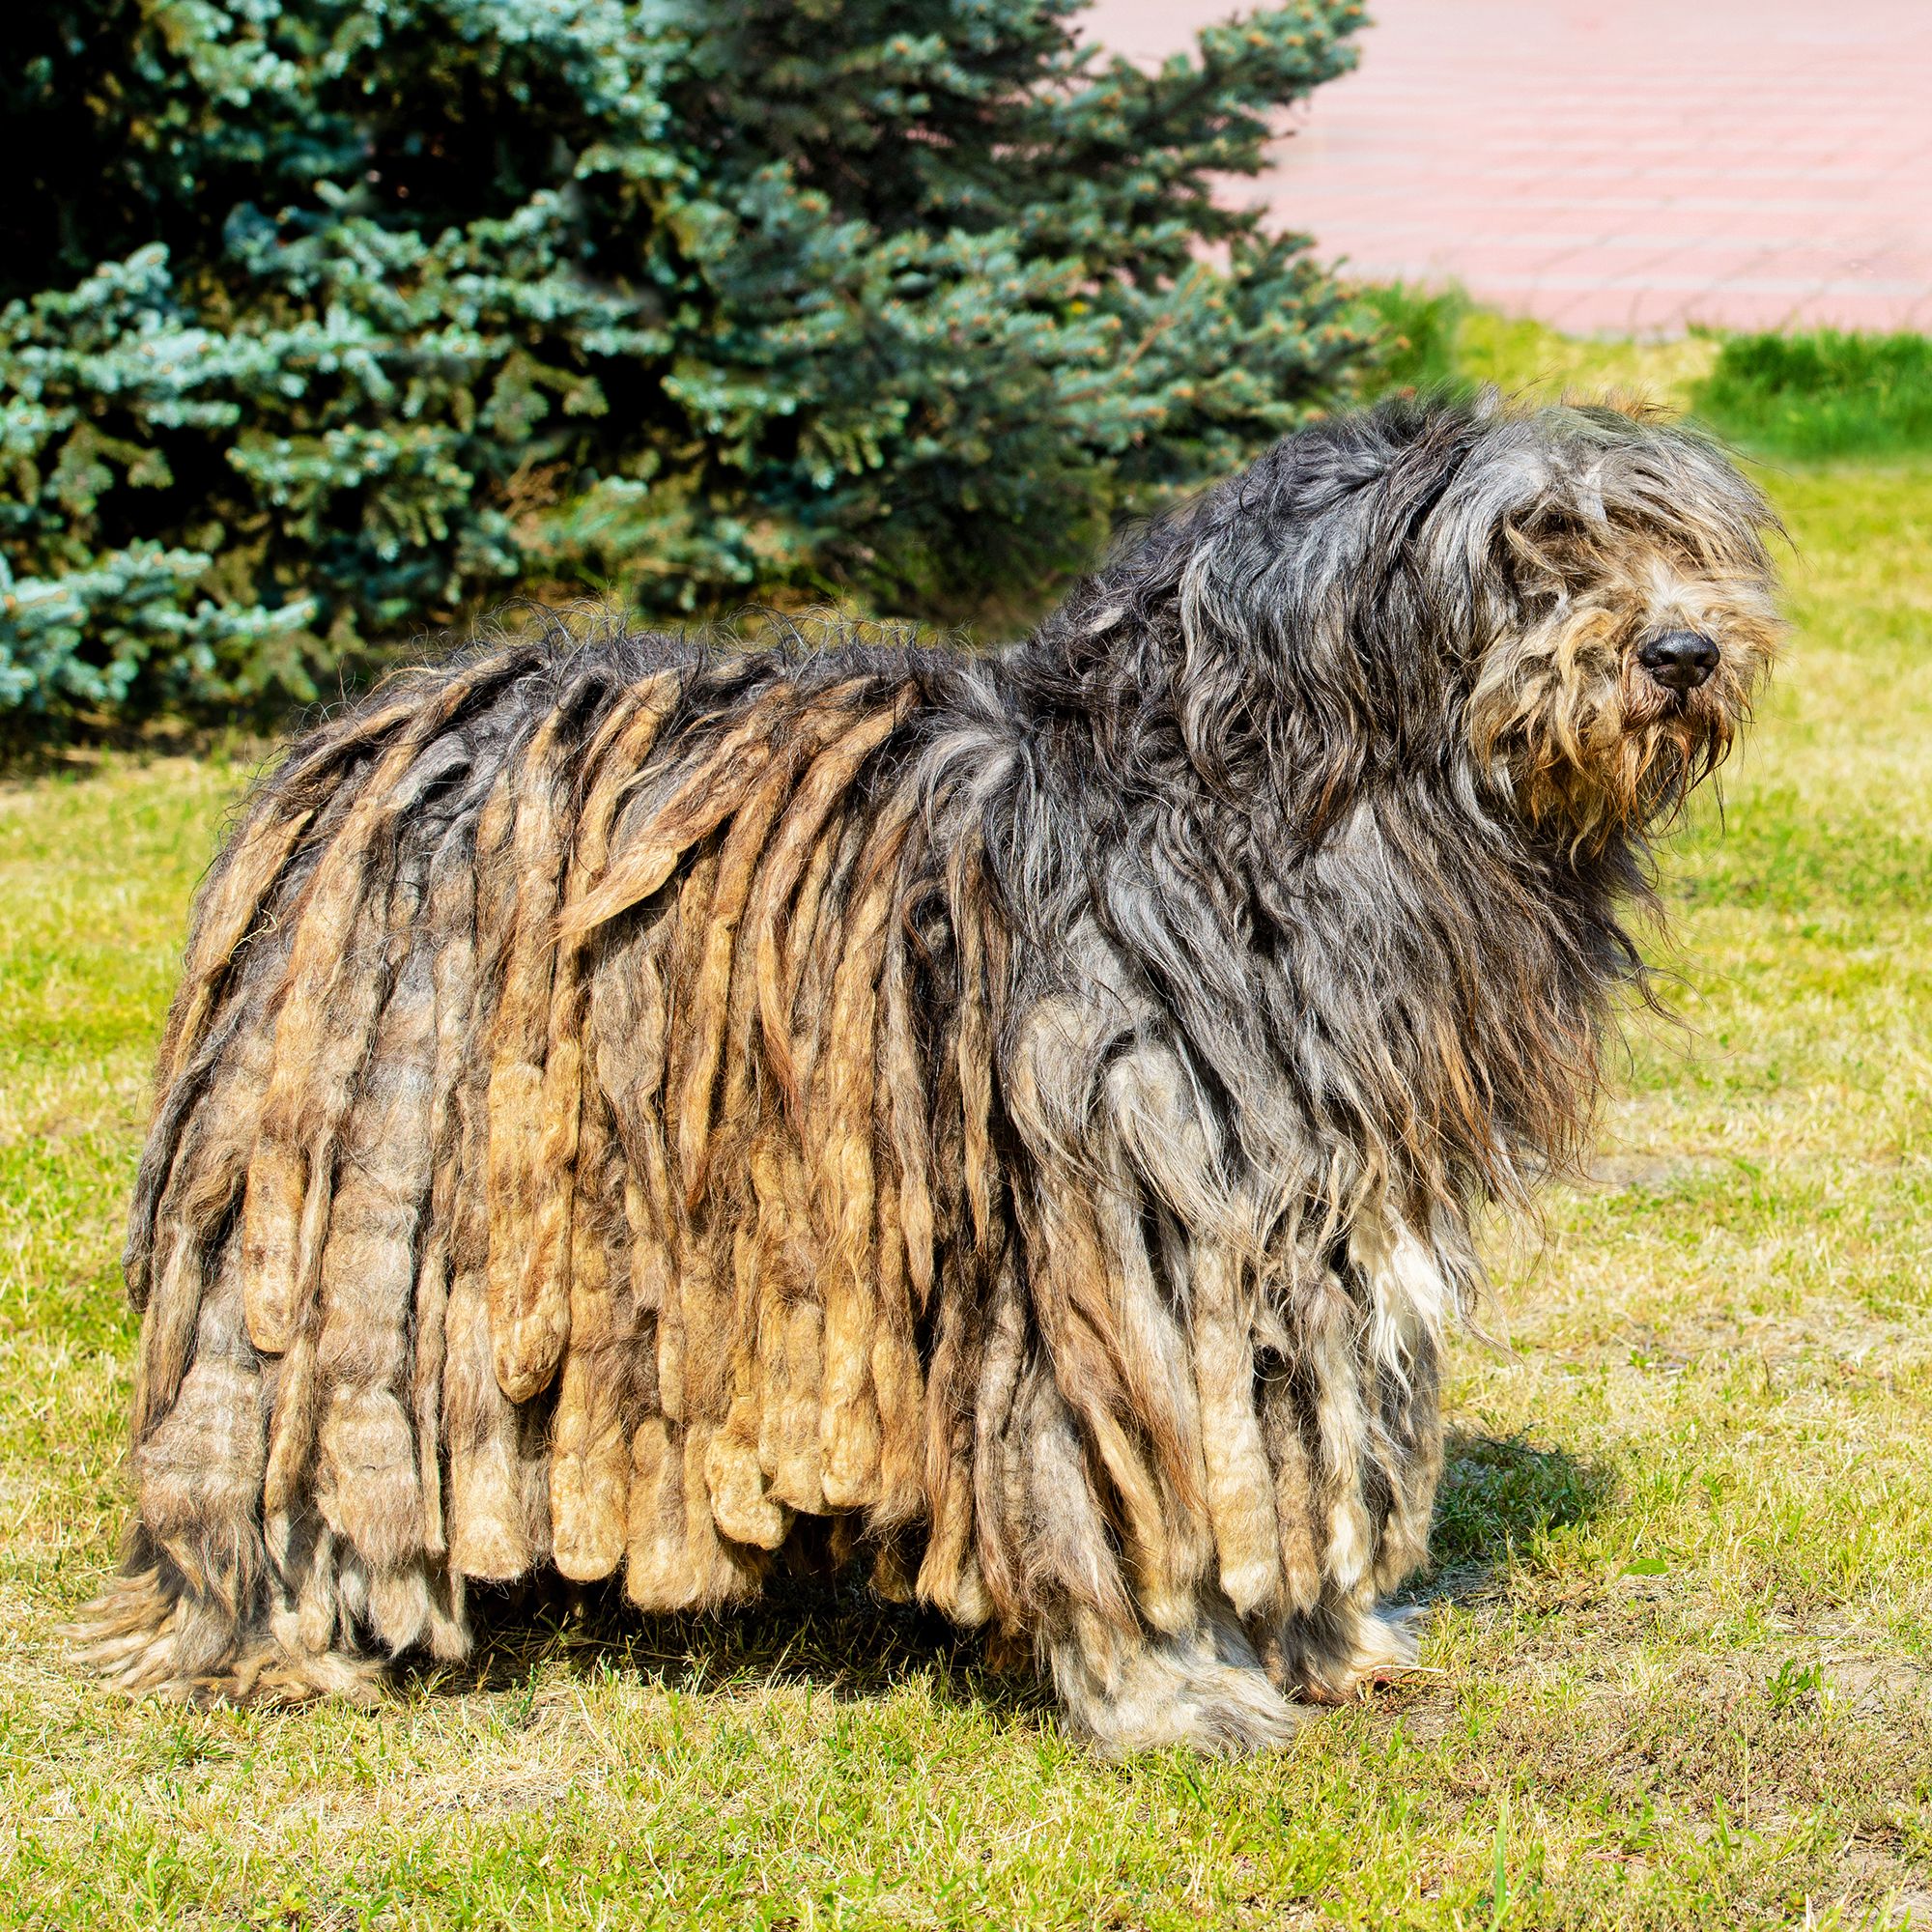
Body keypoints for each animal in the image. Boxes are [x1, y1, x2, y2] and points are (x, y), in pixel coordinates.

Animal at [87, 400, 1777, 1762]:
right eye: (1531, 548)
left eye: (1671, 539)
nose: (1684, 652)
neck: (1273, 811)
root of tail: (367, 740)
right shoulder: (1120, 1225)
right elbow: (1135, 1473)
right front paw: (1177, 1693)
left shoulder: (1320, 1225)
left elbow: (1303, 1435)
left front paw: (1334, 1643)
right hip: (352, 1225)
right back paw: (281, 1640)